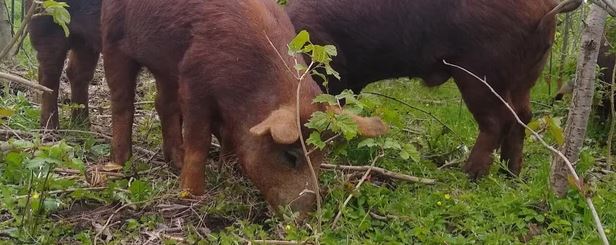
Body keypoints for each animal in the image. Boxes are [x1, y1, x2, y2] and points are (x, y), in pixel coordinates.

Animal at [29, 0, 100, 129]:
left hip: (85, 41)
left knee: (77, 73)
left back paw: (83, 125)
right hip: (47, 24)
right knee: (49, 76)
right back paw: (51, 127)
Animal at [102, 0, 384, 212]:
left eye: (322, 157)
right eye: (291, 156)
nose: (305, 216)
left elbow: (228, 137)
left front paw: (227, 171)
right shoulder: (195, 80)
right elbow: (199, 141)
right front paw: (191, 195)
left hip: (166, 68)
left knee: (163, 104)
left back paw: (175, 162)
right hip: (113, 40)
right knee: (122, 102)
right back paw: (119, 165)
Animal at [286, 0, 580, 178]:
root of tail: (548, 6)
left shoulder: (331, 71)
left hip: (478, 70)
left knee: (498, 120)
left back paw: (469, 174)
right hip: (526, 75)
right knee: (523, 116)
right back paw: (510, 173)